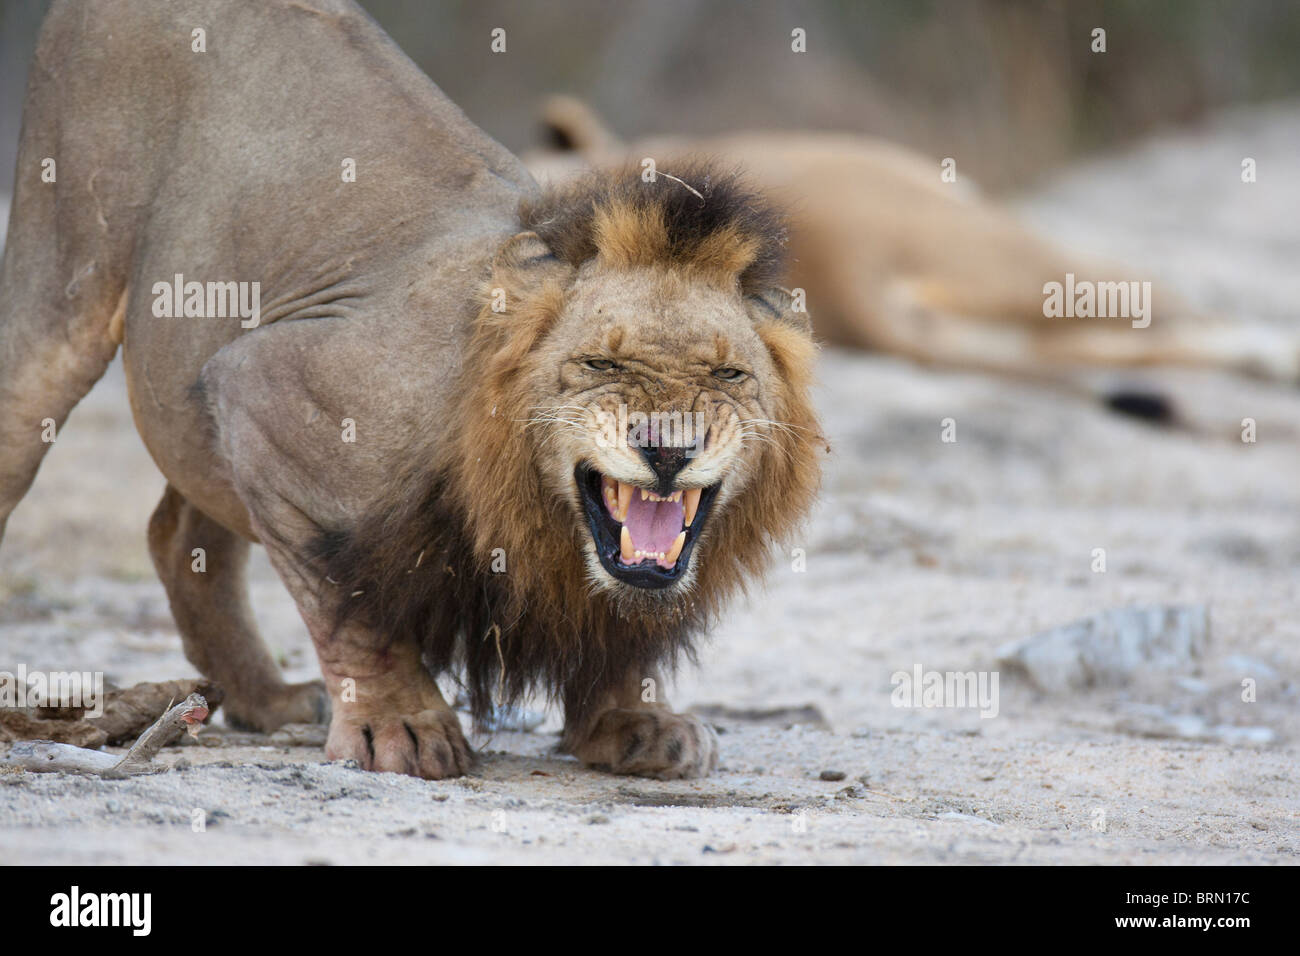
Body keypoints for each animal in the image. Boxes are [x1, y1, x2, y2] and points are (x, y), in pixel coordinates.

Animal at [0, 0, 821, 785]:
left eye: (729, 375)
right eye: (598, 364)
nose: (668, 449)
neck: (534, 509)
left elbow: (622, 632)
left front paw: (633, 722)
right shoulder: (265, 389)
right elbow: (351, 607)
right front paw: (399, 726)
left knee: (178, 536)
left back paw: (265, 700)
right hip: (63, 283)